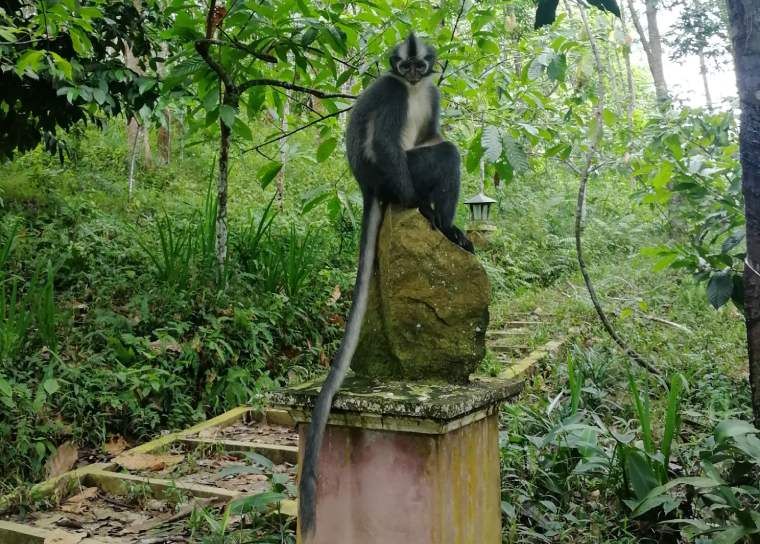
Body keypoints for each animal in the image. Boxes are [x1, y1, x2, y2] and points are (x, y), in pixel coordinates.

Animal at [299, 33, 472, 536]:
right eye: (403, 66)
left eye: (420, 65)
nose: (412, 75)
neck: (411, 91)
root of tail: (367, 187)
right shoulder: (393, 95)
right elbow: (389, 141)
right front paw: (422, 205)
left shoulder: (429, 93)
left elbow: (435, 131)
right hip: (389, 177)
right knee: (436, 158)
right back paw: (431, 215)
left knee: (443, 149)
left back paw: (445, 226)